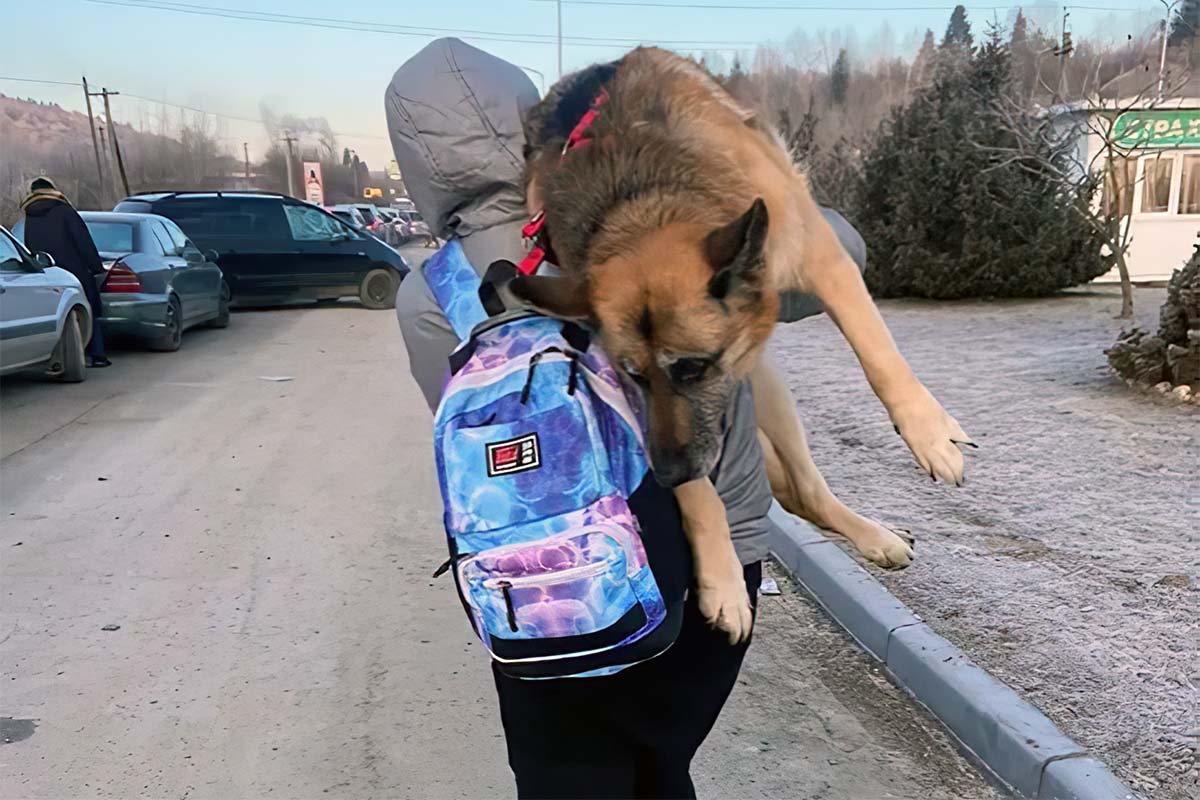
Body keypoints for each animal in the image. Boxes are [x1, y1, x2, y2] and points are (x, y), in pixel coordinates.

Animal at [511, 47, 969, 642]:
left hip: (773, 394)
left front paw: (929, 433)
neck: (644, 199)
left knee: (810, 489)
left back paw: (875, 535)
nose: (665, 473)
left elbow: (877, 352)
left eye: (692, 368)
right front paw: (722, 579)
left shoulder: (825, 261)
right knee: (799, 494)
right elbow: (700, 495)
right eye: (634, 377)